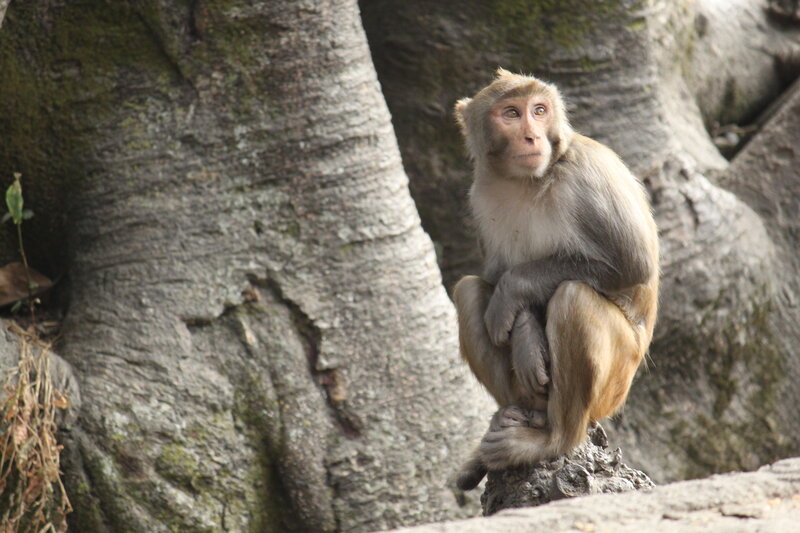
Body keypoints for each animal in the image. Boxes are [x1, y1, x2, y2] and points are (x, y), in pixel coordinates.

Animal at [452, 68, 659, 491]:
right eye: (511, 113)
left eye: (539, 110)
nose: (532, 136)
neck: (527, 180)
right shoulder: (480, 194)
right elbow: (494, 279)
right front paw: (525, 333)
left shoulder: (589, 173)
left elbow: (632, 263)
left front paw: (514, 292)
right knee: (469, 291)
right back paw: (515, 415)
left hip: (615, 385)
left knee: (573, 298)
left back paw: (553, 440)